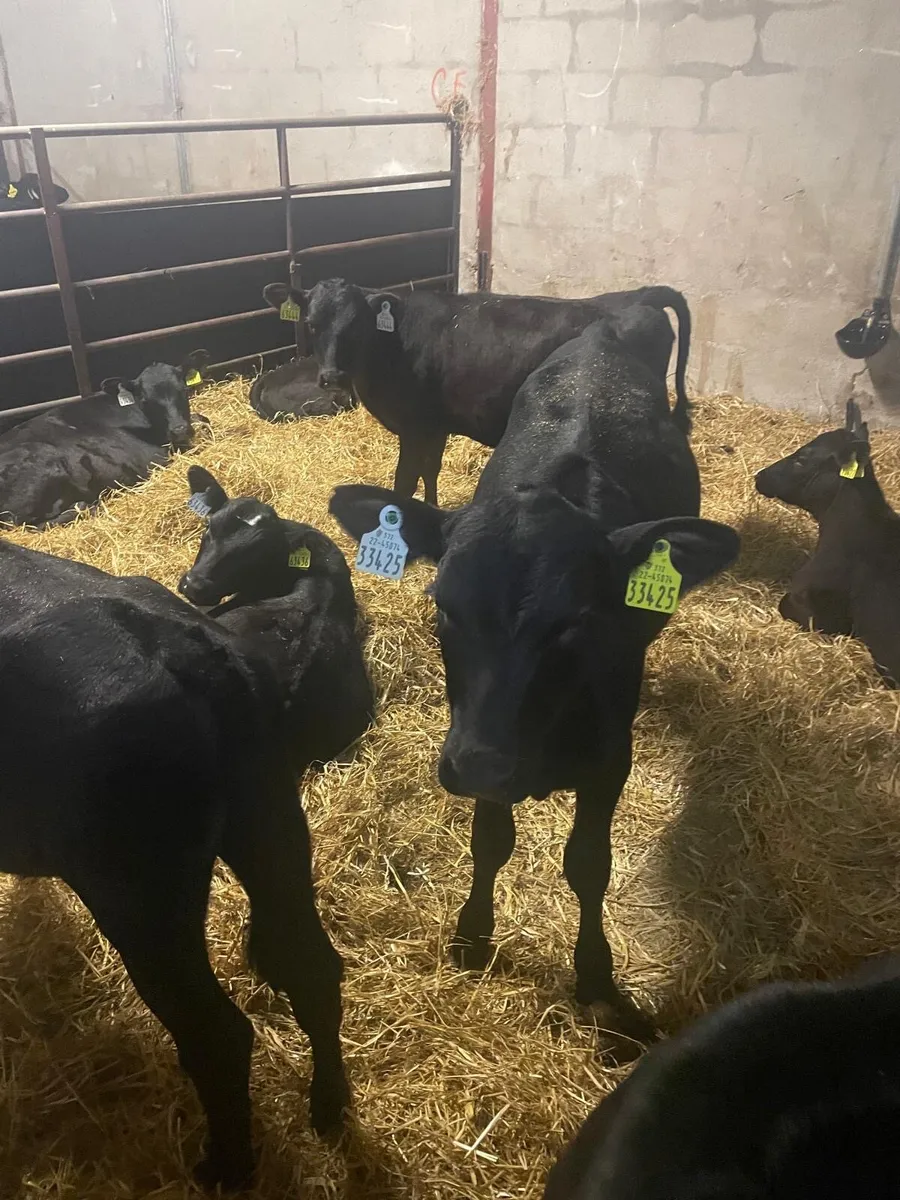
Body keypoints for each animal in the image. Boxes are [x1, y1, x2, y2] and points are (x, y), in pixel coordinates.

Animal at [0, 536, 349, 1189]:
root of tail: (186, 646)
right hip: (269, 823)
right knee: (312, 966)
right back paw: (329, 1106)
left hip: (140, 894)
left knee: (217, 1033)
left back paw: (225, 1169)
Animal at [262, 277, 693, 504]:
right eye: (312, 323)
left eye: (357, 326)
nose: (333, 376)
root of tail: (639, 295)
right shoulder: (435, 427)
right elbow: (430, 471)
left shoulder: (416, 428)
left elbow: (404, 480)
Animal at [329, 309, 739, 1031]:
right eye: (444, 606)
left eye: (575, 623)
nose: (475, 766)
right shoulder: (480, 739)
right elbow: (490, 839)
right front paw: (471, 934)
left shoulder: (610, 757)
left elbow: (589, 864)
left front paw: (597, 974)